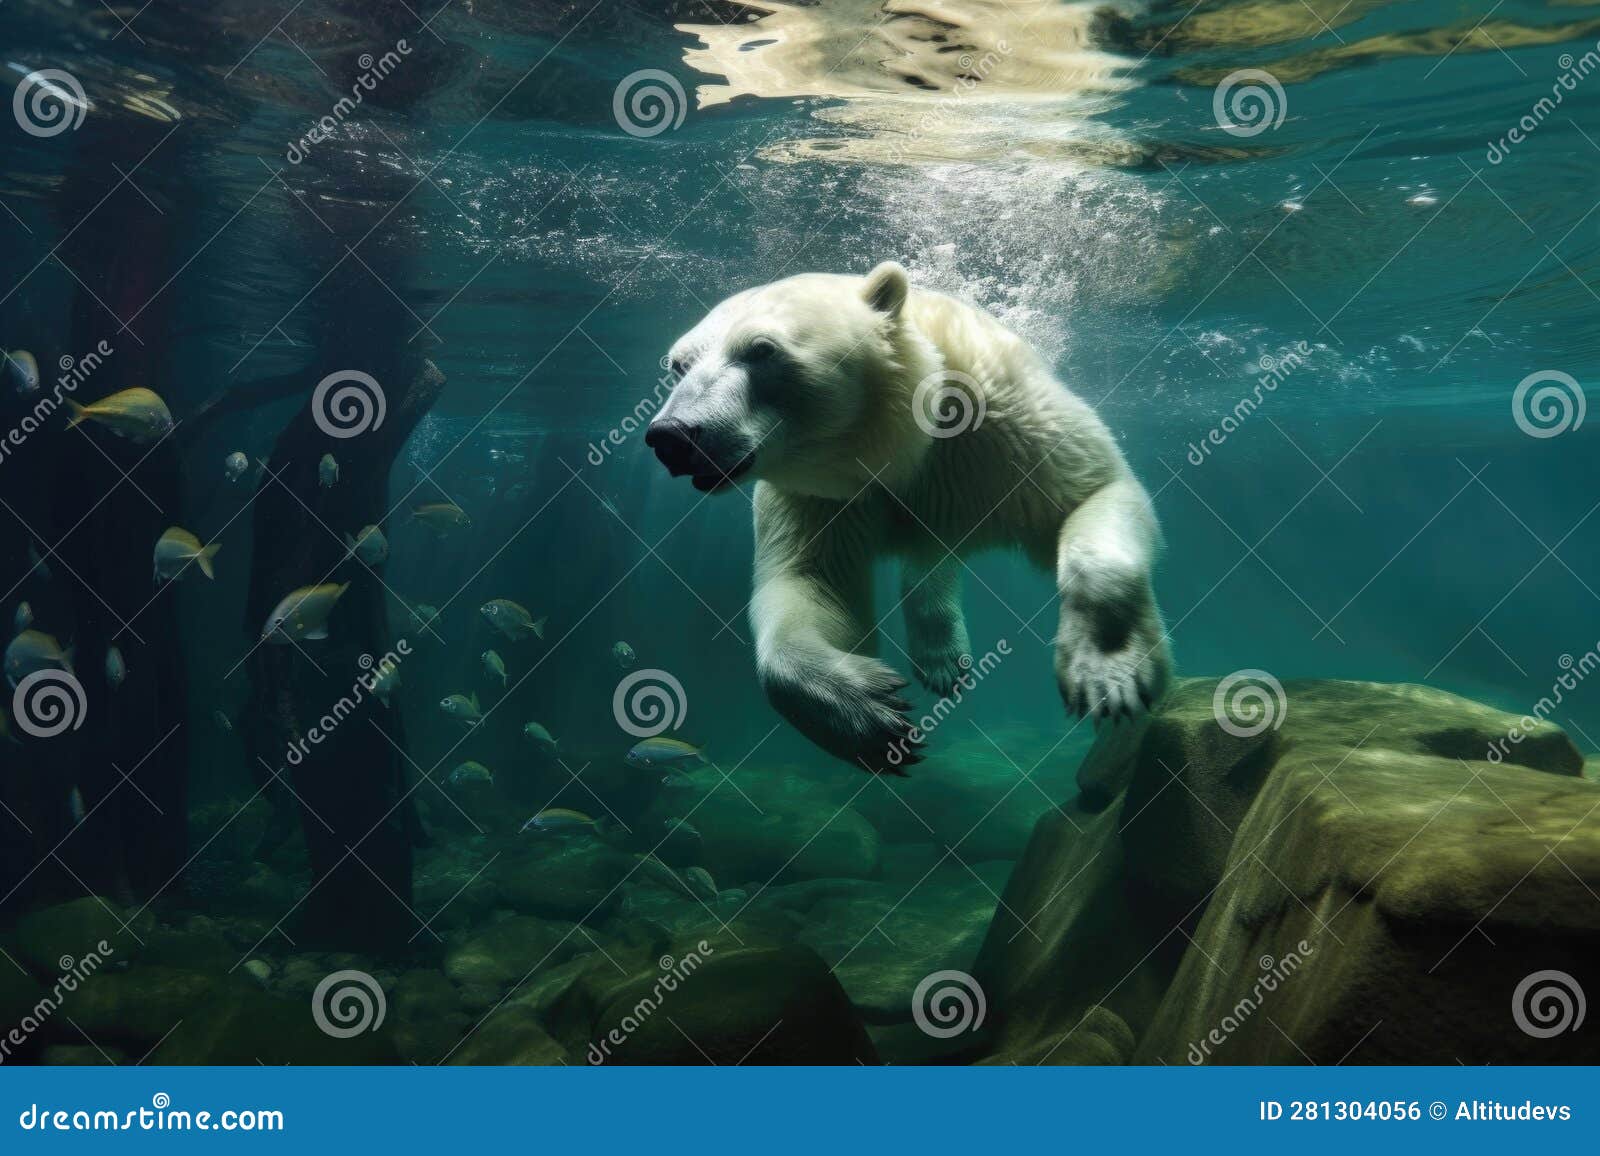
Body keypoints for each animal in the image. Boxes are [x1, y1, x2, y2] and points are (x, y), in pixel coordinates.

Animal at [645, 261, 1170, 773]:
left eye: (760, 350)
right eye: (678, 364)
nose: (672, 436)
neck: (901, 445)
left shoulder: (1004, 431)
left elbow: (1093, 492)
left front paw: (1107, 673)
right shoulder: (824, 497)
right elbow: (810, 582)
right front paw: (868, 715)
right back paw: (942, 657)